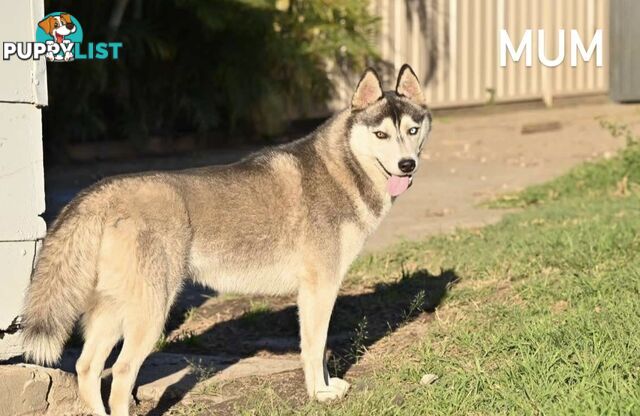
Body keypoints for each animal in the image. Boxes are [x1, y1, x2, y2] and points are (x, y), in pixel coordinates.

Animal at [21, 63, 430, 414]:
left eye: (412, 130)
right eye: (381, 134)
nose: (407, 165)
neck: (342, 167)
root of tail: (102, 192)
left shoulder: (314, 292)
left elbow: (316, 347)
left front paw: (327, 386)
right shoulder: (320, 288)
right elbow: (315, 348)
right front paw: (320, 394)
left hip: (113, 312)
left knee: (87, 368)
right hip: (150, 315)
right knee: (120, 376)